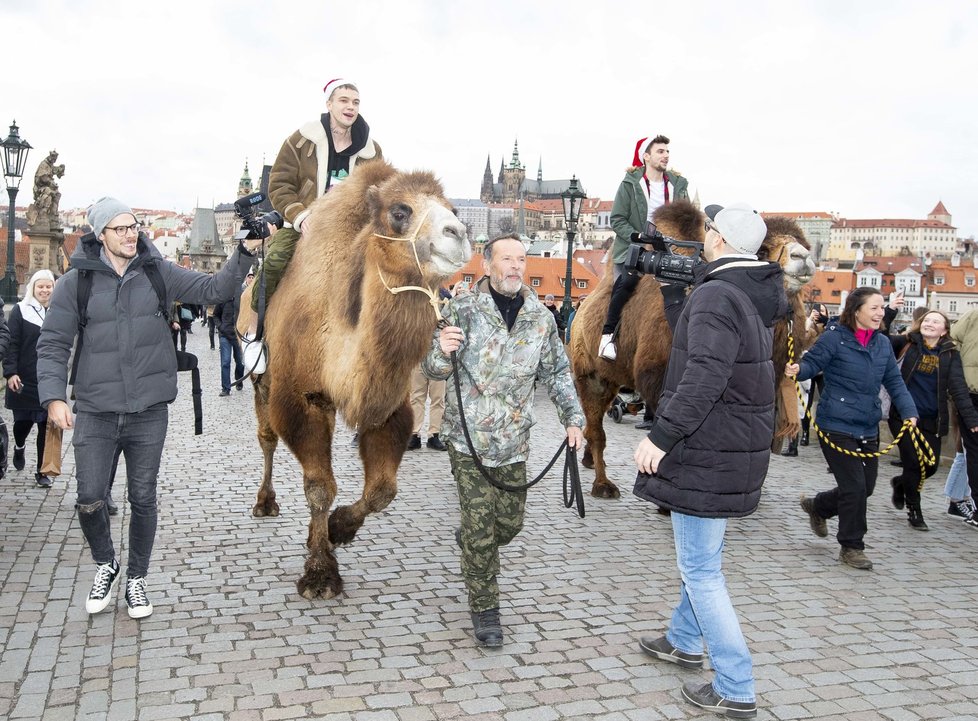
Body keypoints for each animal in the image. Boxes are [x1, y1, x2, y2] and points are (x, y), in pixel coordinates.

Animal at [234, 160, 468, 600]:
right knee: (266, 438)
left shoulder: (388, 406)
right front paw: (320, 573)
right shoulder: (302, 399)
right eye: (400, 211)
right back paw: (265, 502)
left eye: (454, 209)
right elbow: (319, 486)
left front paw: (338, 528)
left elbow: (382, 491)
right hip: (260, 378)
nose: (459, 234)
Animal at [568, 200, 812, 498]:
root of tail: (579, 314)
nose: (802, 256)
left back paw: (588, 461)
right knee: (597, 430)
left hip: (611, 378)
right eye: (763, 250)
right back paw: (603, 485)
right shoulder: (660, 374)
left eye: (803, 243)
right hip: (590, 373)